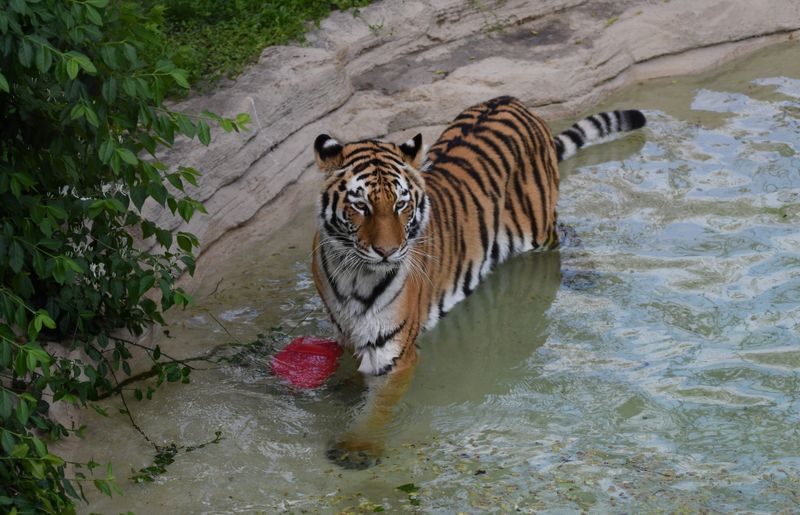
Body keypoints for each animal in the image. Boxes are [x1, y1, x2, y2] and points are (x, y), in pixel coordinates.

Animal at [308, 97, 644, 468]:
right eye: (360, 205)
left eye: (401, 205)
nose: (388, 252)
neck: (352, 273)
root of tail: (513, 102)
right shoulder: (344, 326)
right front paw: (346, 388)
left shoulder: (394, 354)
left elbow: (378, 409)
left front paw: (358, 446)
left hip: (539, 229)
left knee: (565, 230)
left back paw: (582, 273)